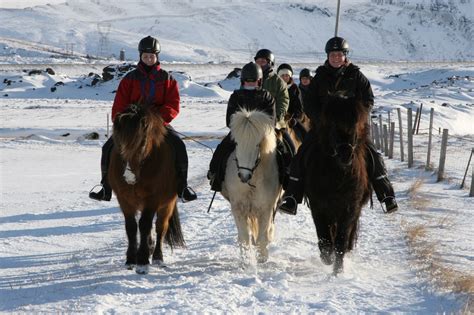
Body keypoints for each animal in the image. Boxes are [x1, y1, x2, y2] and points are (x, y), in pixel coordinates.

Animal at [109, 103, 185, 274]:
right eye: (118, 142)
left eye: (142, 142)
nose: (129, 177)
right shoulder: (124, 199)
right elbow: (131, 227)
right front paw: (131, 259)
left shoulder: (153, 199)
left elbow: (144, 225)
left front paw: (142, 261)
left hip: (167, 204)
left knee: (160, 227)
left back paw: (157, 257)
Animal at [221, 108, 282, 264]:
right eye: (236, 143)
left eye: (257, 145)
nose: (243, 176)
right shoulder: (238, 208)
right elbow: (244, 238)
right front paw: (246, 261)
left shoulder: (266, 209)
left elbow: (262, 236)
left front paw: (262, 258)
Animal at [304, 95, 370, 274]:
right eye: (333, 125)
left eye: (355, 124)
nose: (345, 155)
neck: (337, 176)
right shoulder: (319, 208)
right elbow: (325, 239)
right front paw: (327, 259)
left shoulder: (349, 209)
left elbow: (341, 241)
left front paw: (337, 270)